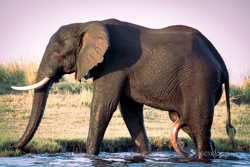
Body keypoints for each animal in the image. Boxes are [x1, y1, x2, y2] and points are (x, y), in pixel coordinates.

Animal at [10, 18, 236, 159]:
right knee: (187, 123)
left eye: (57, 51)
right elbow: (130, 111)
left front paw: (88, 157)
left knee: (198, 124)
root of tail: (222, 64)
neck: (87, 24)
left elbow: (103, 107)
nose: (13, 147)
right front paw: (147, 156)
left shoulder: (113, 63)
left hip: (201, 81)